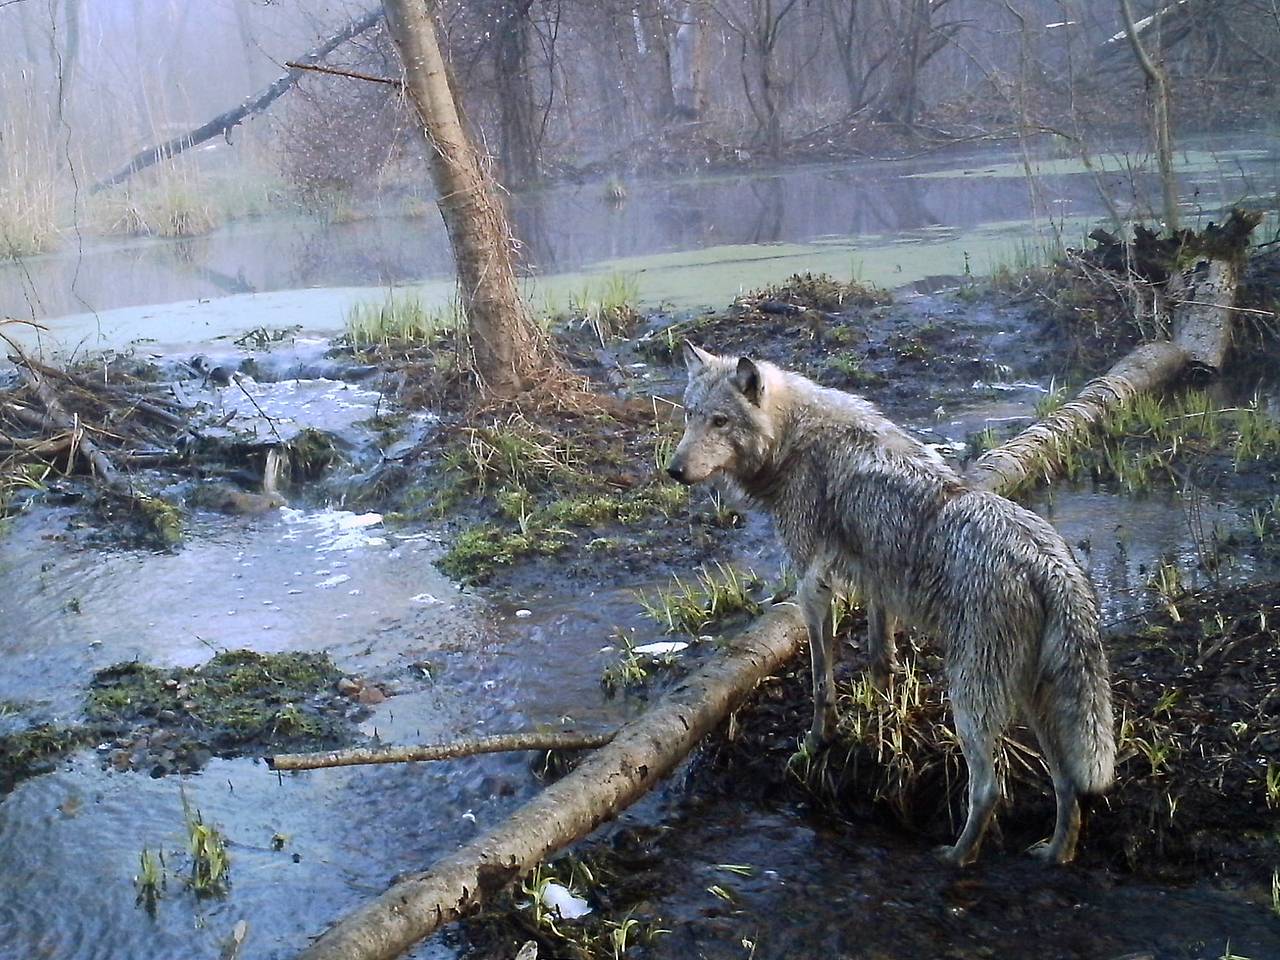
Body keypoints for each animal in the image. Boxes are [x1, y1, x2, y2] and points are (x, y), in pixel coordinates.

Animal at [665, 343, 1116, 865]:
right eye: (690, 415)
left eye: (720, 421)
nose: (674, 470)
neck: (794, 439)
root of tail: (1049, 563)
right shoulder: (877, 582)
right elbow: (880, 658)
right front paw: (879, 722)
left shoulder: (813, 586)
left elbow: (821, 682)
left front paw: (818, 742)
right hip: (1031, 700)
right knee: (1067, 785)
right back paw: (1054, 854)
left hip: (971, 701)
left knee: (989, 790)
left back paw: (955, 858)